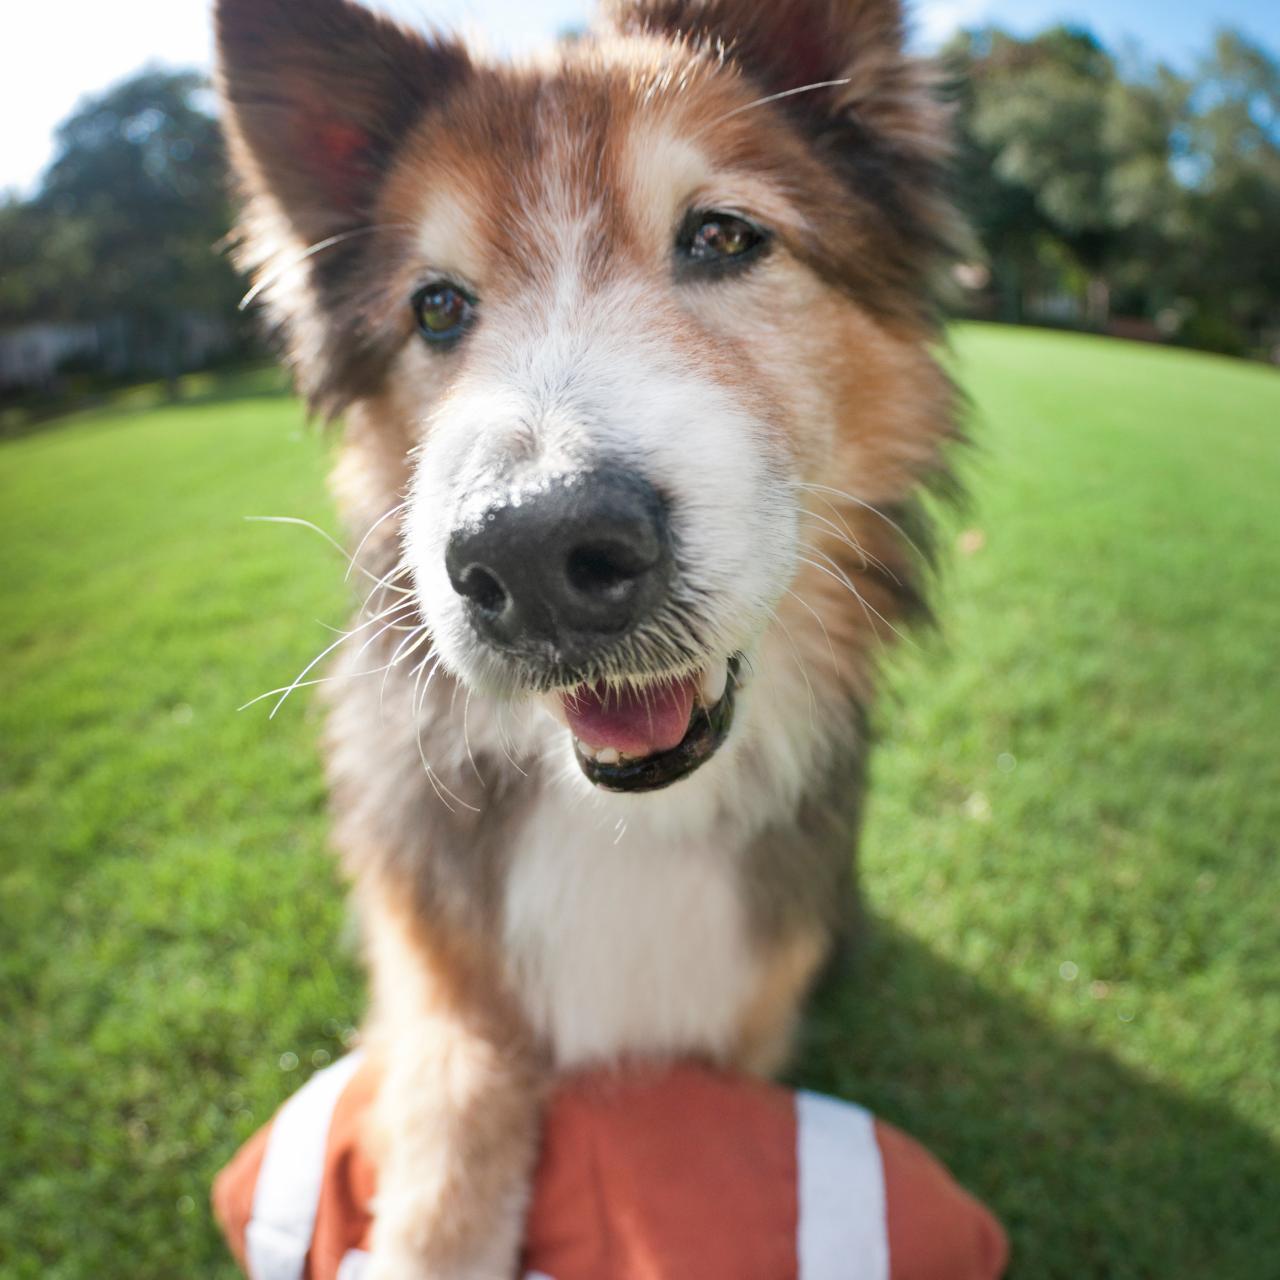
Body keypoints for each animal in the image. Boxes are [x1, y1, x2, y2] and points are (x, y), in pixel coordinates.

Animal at [215, 5, 957, 1274]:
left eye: (721, 236)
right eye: (435, 308)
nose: (532, 555)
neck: (619, 818)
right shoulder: (436, 980)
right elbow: (449, 1135)